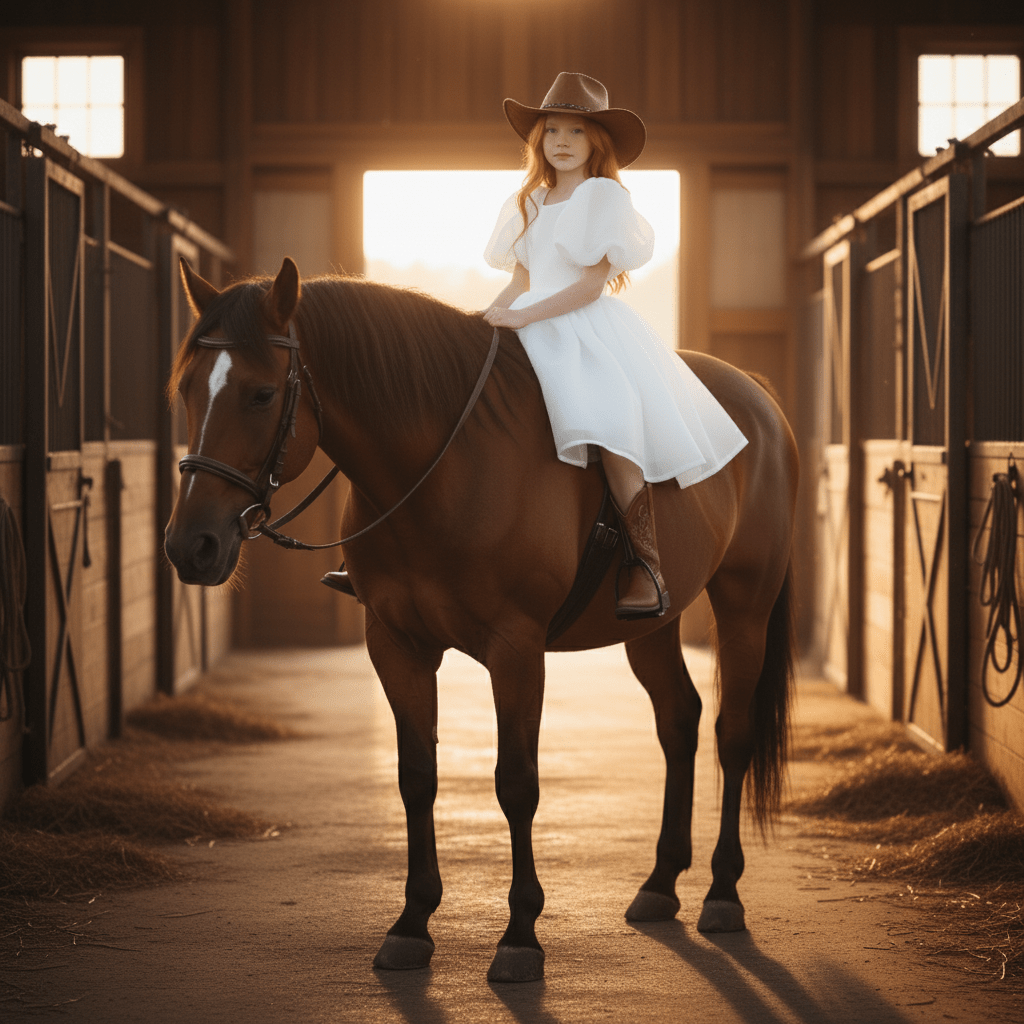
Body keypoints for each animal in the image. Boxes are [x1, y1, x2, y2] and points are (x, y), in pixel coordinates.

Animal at [164, 256, 799, 983]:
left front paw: (520, 936)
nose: (190, 546)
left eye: (263, 394)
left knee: (732, 733)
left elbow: (516, 783)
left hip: (745, 603)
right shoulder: (396, 644)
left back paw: (723, 893)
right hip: (650, 625)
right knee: (679, 720)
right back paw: (661, 884)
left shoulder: (515, 648)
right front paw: (411, 924)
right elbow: (417, 777)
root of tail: (754, 395)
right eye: (186, 389)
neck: (444, 465)